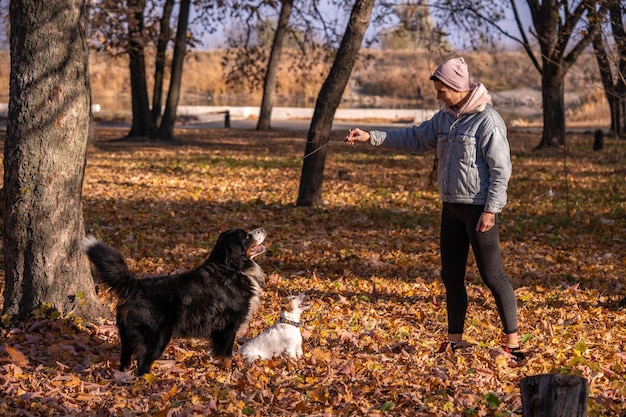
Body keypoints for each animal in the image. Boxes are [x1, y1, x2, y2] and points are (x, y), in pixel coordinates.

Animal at [81, 228, 266, 374]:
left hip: (126, 338)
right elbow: (227, 355)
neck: (230, 268)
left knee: (125, 361)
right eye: (246, 236)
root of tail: (136, 287)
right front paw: (227, 375)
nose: (262, 229)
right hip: (155, 339)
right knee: (142, 365)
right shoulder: (228, 327)